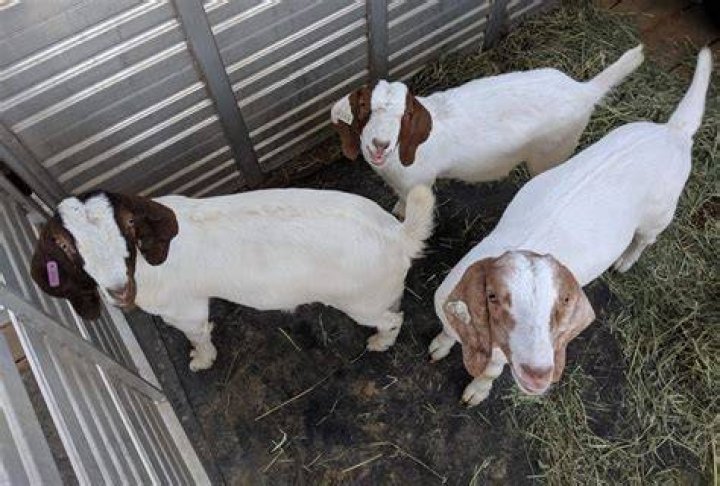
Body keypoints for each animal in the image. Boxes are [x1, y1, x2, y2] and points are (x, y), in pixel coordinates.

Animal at [31, 186, 435, 371]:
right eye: (65, 245)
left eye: (129, 226)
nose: (118, 289)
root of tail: (399, 235)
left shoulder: (185, 309)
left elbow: (197, 332)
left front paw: (201, 359)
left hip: (359, 301)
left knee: (392, 319)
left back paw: (380, 342)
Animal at [331, 45, 644, 217]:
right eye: (364, 108)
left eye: (405, 116)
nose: (380, 143)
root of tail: (583, 91)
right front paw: (396, 209)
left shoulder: (418, 181)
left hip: (553, 151)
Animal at [429, 48, 712, 406]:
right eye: (501, 303)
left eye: (555, 309)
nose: (541, 372)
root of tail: (674, 132)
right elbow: (447, 332)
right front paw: (435, 351)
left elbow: (491, 371)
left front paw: (472, 397)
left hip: (661, 210)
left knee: (645, 239)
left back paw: (623, 264)